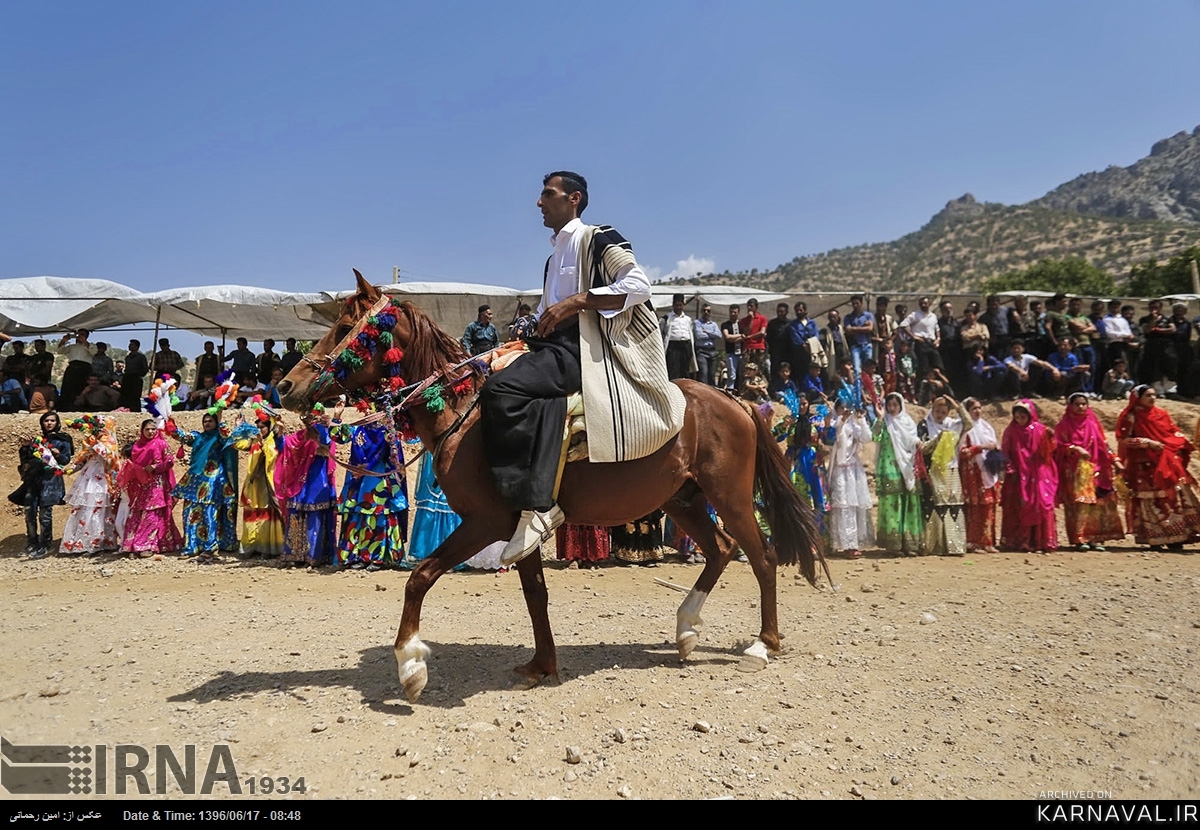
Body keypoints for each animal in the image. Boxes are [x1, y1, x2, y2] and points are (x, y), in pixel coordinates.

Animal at [280, 273, 825, 700]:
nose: (286, 386)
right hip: (683, 499)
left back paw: (763, 644)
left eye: (345, 329)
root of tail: (736, 401)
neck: (466, 413)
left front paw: (411, 664)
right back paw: (687, 629)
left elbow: (420, 578)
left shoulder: (487, 521)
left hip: (728, 496)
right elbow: (535, 594)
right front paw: (542, 664)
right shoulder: (520, 527)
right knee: (722, 549)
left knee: (762, 556)